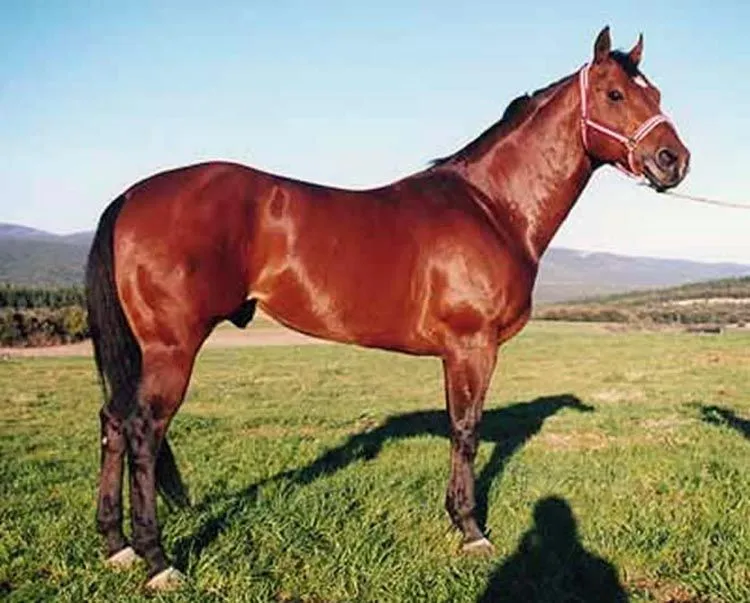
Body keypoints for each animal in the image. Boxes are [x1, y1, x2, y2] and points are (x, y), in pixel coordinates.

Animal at [85, 28, 692, 588]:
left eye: (657, 92)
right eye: (614, 93)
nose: (674, 160)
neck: (492, 208)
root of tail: (131, 196)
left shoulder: (456, 353)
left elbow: (459, 426)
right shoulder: (472, 347)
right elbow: (466, 430)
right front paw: (471, 530)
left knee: (113, 422)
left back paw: (116, 546)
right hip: (172, 348)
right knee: (142, 431)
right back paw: (158, 561)